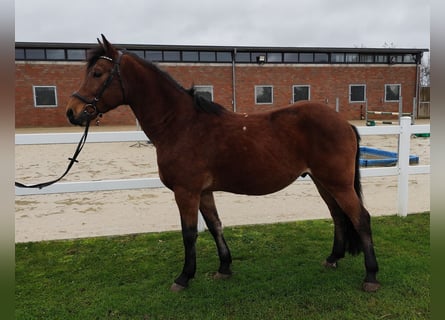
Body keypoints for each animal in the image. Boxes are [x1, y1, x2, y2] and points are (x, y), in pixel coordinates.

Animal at [65, 35, 378, 292]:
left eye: (97, 73)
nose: (72, 111)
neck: (181, 125)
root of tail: (345, 123)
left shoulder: (186, 192)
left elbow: (189, 234)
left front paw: (184, 277)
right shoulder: (203, 192)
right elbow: (215, 225)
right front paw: (224, 268)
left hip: (337, 183)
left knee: (360, 218)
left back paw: (371, 276)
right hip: (322, 181)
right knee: (338, 216)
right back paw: (333, 258)